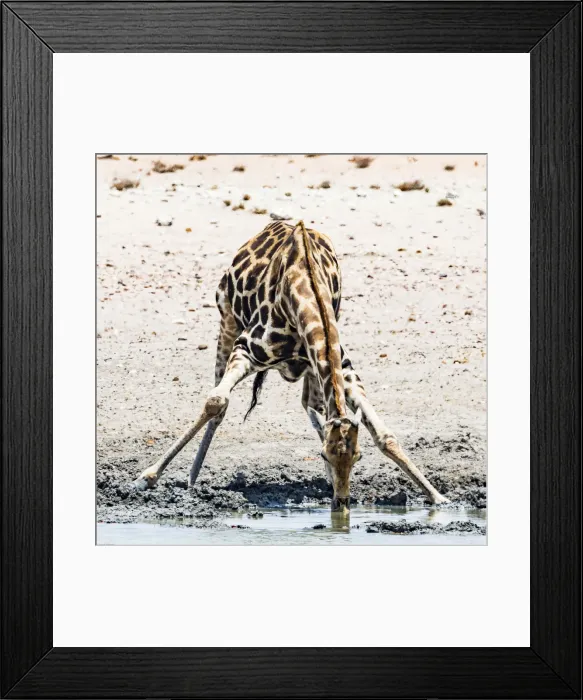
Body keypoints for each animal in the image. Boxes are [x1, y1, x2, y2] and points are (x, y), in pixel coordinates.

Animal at [134, 220, 449, 513]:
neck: (304, 287)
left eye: (358, 456)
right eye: (323, 455)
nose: (342, 504)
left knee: (310, 404)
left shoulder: (342, 367)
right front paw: (147, 477)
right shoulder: (245, 349)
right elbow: (216, 401)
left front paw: (438, 497)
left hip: (308, 369)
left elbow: (384, 435)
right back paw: (191, 478)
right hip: (227, 322)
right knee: (219, 401)